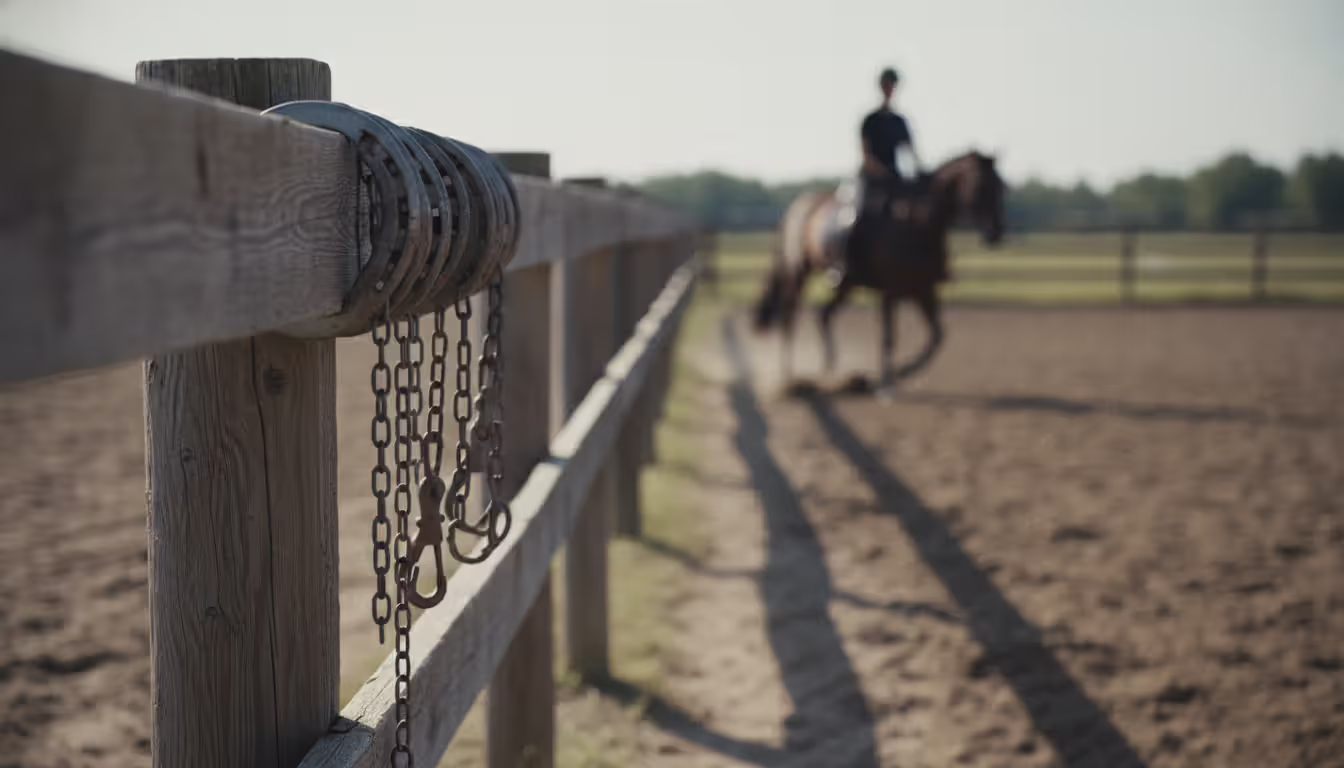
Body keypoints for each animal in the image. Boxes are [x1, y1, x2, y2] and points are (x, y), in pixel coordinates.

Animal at [753, 150, 1005, 387]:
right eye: (980, 186)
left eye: (1001, 186)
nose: (995, 234)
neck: (916, 226)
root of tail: (796, 207)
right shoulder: (890, 291)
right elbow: (889, 336)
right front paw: (886, 383)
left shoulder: (923, 290)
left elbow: (937, 337)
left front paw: (901, 372)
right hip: (798, 272)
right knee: (789, 315)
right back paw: (788, 374)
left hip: (846, 285)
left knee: (823, 315)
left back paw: (830, 366)